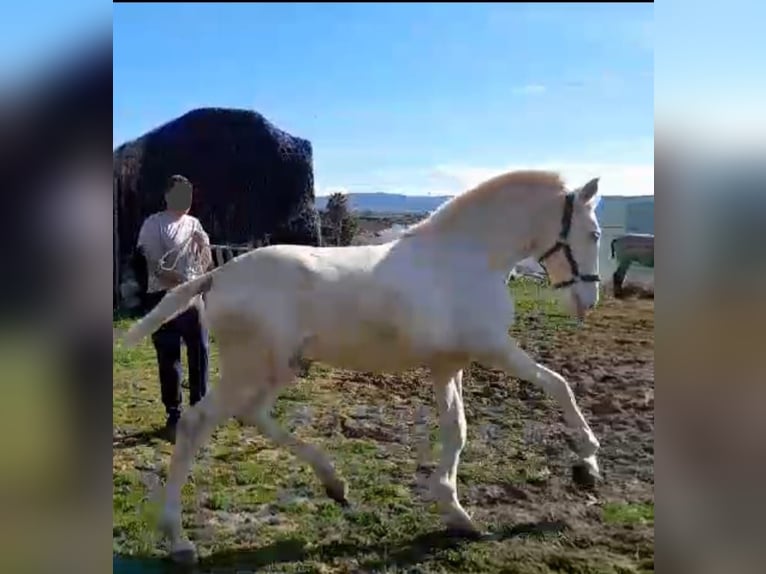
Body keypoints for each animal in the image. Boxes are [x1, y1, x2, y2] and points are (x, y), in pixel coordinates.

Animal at [123, 170, 608, 564]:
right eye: (595, 234)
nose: (587, 302)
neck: (465, 259)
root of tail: (215, 275)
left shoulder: (447, 365)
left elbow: (457, 430)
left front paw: (457, 513)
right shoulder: (494, 349)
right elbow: (559, 385)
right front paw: (588, 463)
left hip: (279, 368)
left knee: (252, 414)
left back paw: (334, 484)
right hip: (250, 367)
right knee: (196, 424)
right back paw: (179, 541)